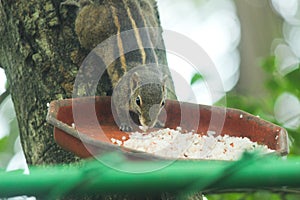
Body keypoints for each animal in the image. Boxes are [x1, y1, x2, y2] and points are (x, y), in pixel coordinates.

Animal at [61, 0, 176, 131]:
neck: (145, 69)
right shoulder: (121, 92)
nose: (148, 124)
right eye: (138, 100)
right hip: (87, 28)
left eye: (163, 103)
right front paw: (125, 123)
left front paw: (158, 122)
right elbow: (119, 108)